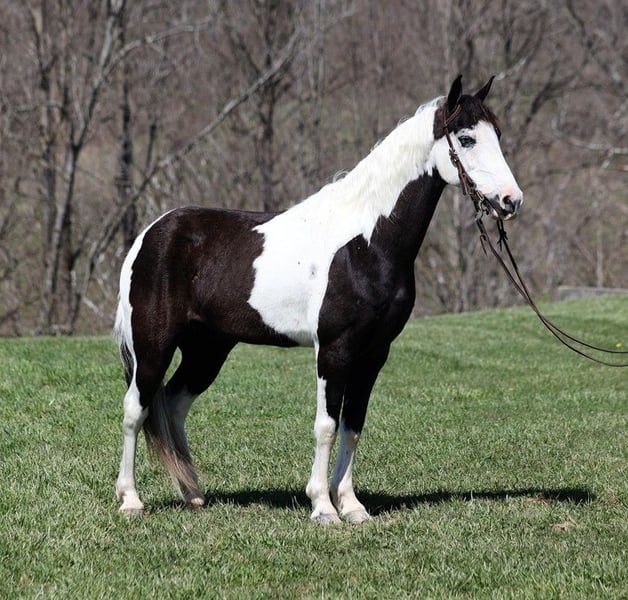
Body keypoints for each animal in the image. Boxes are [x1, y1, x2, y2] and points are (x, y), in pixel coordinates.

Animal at [114, 75, 523, 524]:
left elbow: (353, 426)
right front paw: (323, 507)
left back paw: (192, 493)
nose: (511, 200)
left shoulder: (374, 353)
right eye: (466, 139)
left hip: (208, 349)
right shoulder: (334, 349)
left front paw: (352, 506)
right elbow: (326, 426)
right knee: (136, 408)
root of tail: (149, 234)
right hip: (153, 345)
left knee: (172, 404)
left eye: (498, 135)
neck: (365, 241)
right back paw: (131, 500)